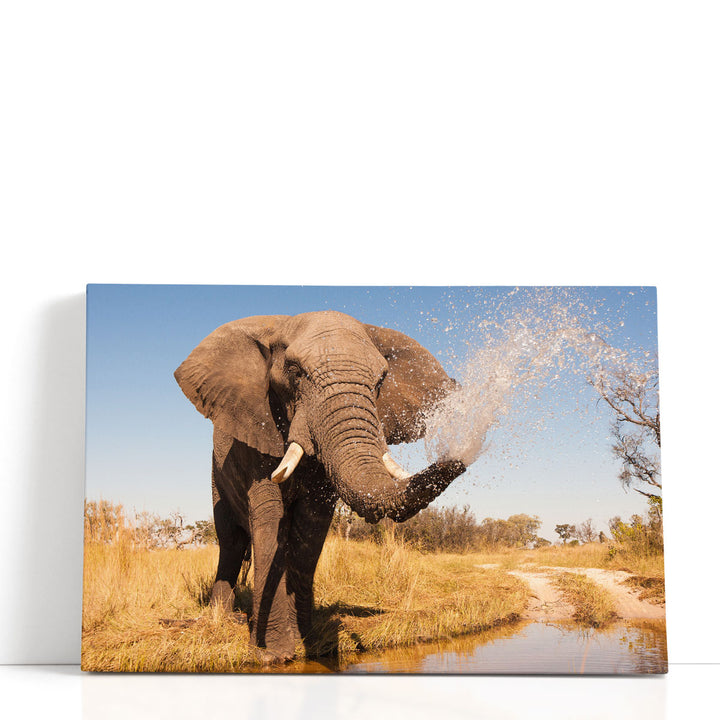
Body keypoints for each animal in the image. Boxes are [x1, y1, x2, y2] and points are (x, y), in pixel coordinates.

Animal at [174, 310, 466, 662]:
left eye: (381, 381)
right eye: (295, 372)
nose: (461, 456)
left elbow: (311, 527)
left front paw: (309, 643)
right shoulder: (257, 428)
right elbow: (269, 518)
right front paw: (273, 654)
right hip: (217, 475)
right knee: (230, 540)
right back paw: (223, 618)